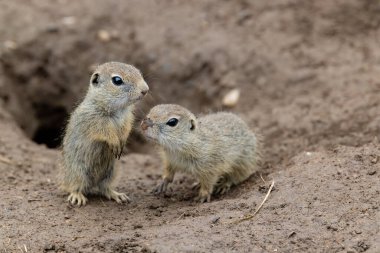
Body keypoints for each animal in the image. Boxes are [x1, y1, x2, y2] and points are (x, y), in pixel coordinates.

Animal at [60, 60, 148, 206]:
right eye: (117, 80)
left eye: (138, 71)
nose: (145, 90)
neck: (116, 109)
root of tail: (92, 185)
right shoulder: (95, 121)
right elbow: (106, 132)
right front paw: (115, 142)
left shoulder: (127, 119)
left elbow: (126, 130)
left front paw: (122, 142)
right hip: (78, 172)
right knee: (74, 187)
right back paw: (77, 196)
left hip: (111, 172)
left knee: (104, 189)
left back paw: (117, 195)